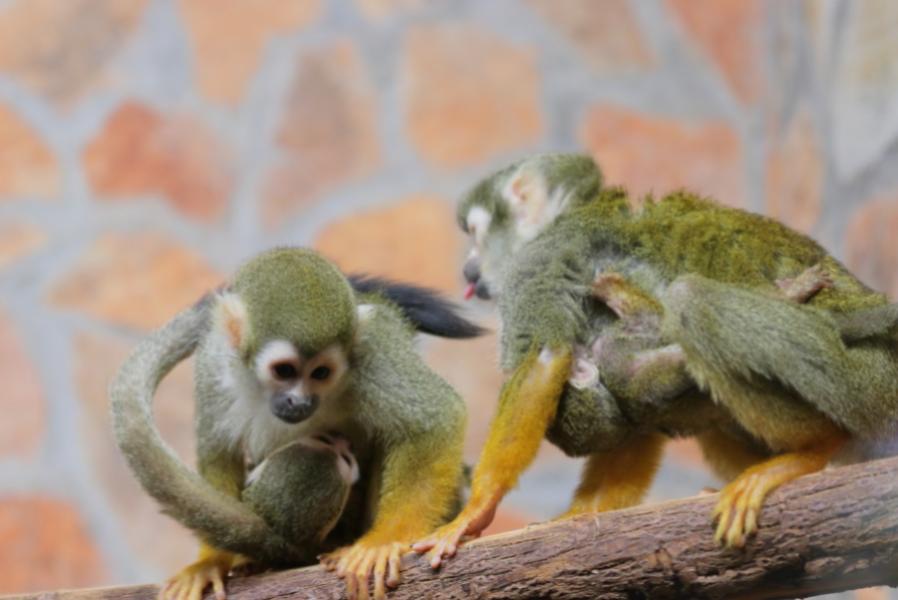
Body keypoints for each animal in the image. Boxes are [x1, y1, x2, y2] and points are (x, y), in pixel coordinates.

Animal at [111, 247, 476, 600]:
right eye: (284, 370)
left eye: (321, 373)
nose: (299, 401)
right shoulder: (213, 359)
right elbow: (218, 451)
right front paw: (211, 561)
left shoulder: (372, 353)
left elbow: (434, 418)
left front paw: (383, 542)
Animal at [414, 151, 898, 564]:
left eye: (474, 235)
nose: (468, 268)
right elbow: (636, 425)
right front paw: (577, 517)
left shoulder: (540, 261)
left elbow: (545, 357)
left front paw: (472, 513)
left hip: (865, 382)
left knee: (692, 303)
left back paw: (812, 450)